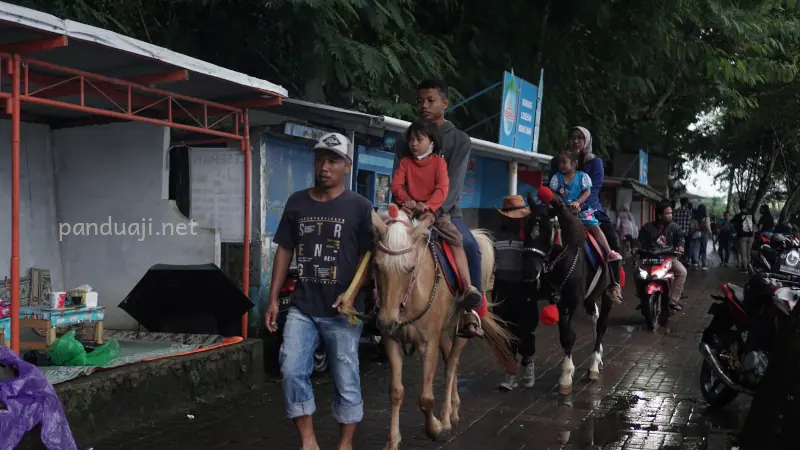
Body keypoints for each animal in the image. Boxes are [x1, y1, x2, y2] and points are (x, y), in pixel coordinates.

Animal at [372, 206, 516, 448]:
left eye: (410, 268)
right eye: (377, 265)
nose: (387, 322)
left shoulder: (428, 343)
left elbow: (425, 398)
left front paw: (436, 427)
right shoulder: (393, 341)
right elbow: (396, 392)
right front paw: (392, 441)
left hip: (461, 329)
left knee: (452, 365)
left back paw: (448, 416)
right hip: (442, 331)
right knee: (449, 359)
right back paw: (454, 408)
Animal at [520, 188, 616, 396]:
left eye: (547, 231)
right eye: (526, 228)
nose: (530, 271)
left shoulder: (572, 302)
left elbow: (570, 335)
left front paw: (565, 377)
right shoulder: (558, 299)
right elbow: (564, 335)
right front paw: (567, 373)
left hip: (607, 294)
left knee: (602, 325)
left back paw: (594, 366)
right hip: (590, 297)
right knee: (595, 317)